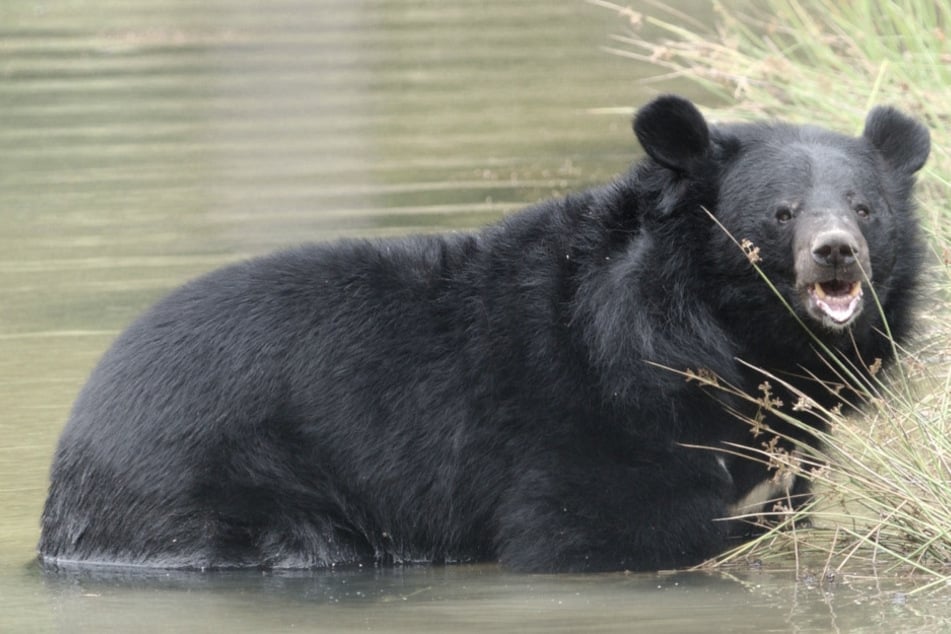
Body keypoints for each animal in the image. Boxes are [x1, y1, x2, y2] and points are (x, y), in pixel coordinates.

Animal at [39, 95, 928, 572]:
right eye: (779, 213)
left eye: (862, 208)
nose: (835, 254)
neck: (721, 331)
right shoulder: (593, 419)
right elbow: (590, 530)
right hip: (210, 489)